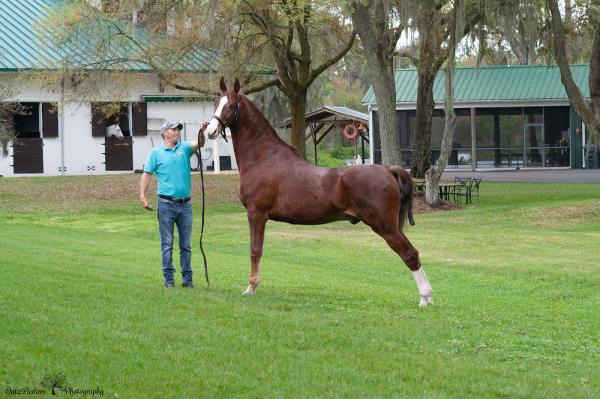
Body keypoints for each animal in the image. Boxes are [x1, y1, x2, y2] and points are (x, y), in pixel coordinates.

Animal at [205, 79, 432, 310]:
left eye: (232, 105)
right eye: (215, 103)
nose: (211, 131)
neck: (263, 157)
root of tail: (388, 170)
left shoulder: (256, 214)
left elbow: (255, 250)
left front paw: (251, 288)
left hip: (386, 227)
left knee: (410, 254)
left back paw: (425, 297)